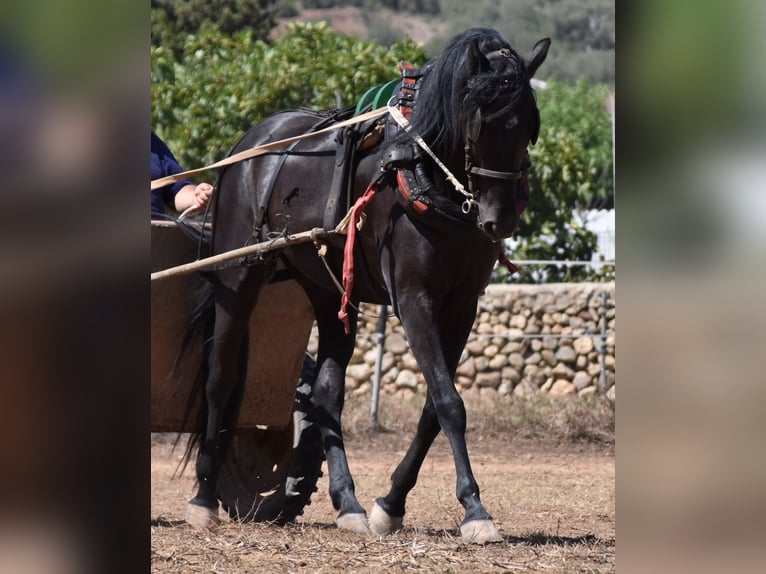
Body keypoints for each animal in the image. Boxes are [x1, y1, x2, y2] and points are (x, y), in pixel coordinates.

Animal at [186, 29, 552, 548]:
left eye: (529, 129)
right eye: (479, 125)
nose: (498, 220)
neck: (422, 173)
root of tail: (251, 145)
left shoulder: (462, 306)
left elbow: (432, 407)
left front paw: (390, 504)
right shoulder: (414, 298)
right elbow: (449, 402)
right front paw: (475, 509)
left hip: (327, 287)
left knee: (325, 395)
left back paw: (349, 503)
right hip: (239, 277)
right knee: (220, 378)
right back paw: (203, 498)